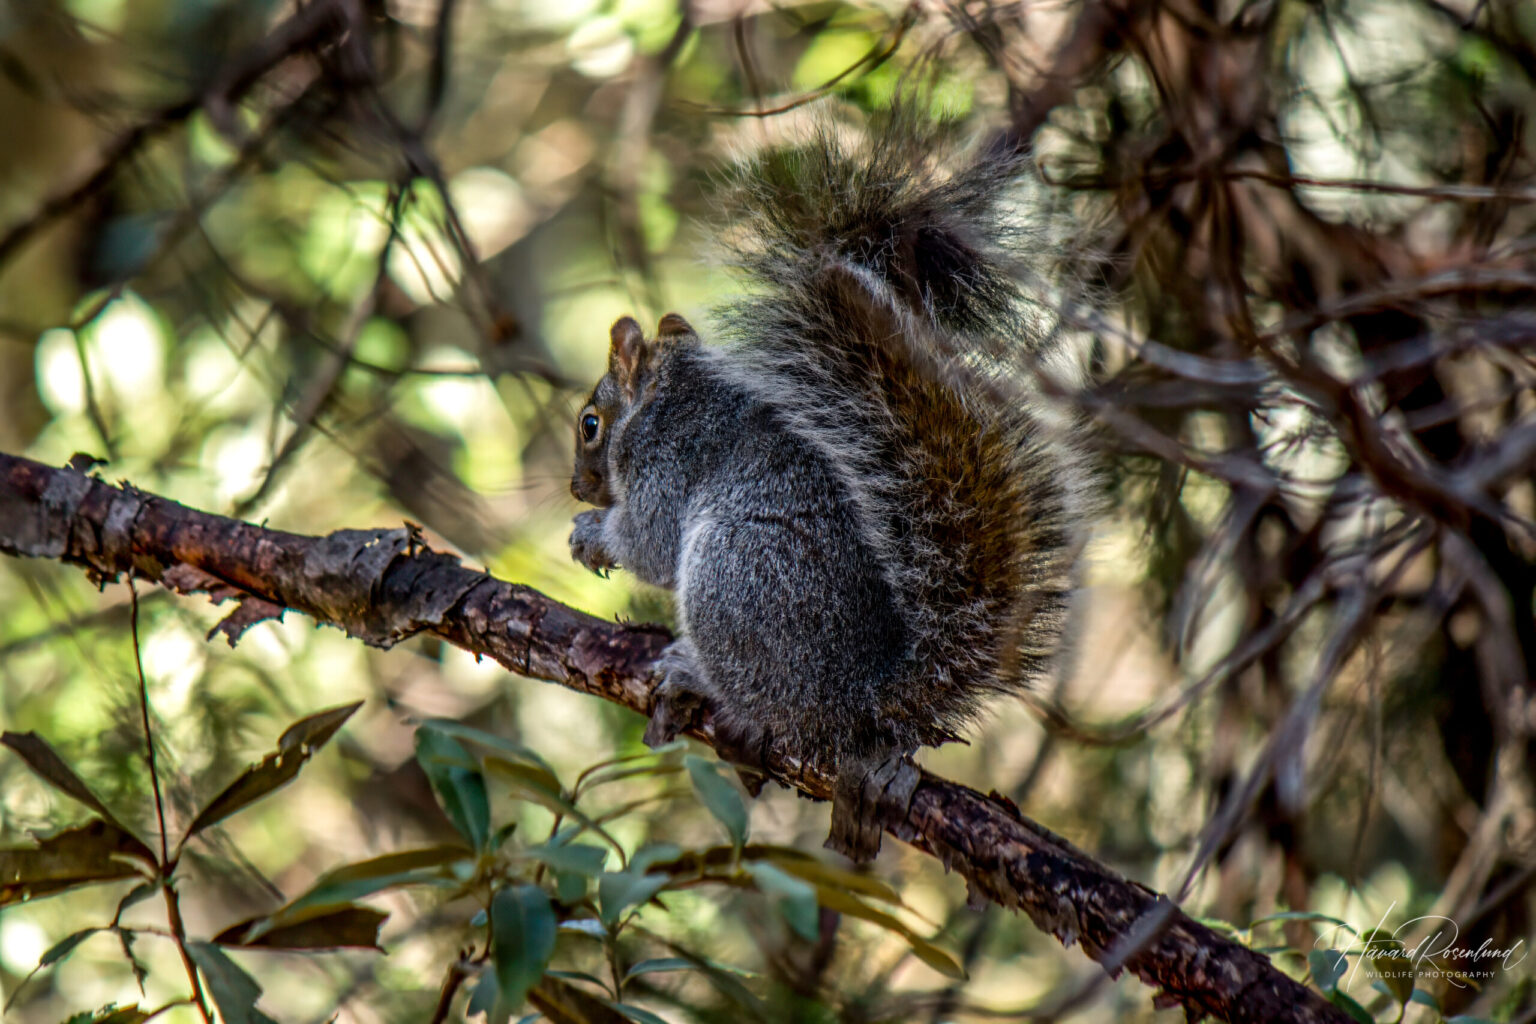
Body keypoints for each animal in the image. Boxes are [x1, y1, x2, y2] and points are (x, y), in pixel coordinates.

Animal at [568, 107, 1090, 862]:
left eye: (589, 424)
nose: (577, 489)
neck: (670, 396)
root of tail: (862, 699)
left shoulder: (668, 461)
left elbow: (650, 544)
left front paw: (593, 537)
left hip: (735, 574)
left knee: (765, 703)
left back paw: (695, 674)